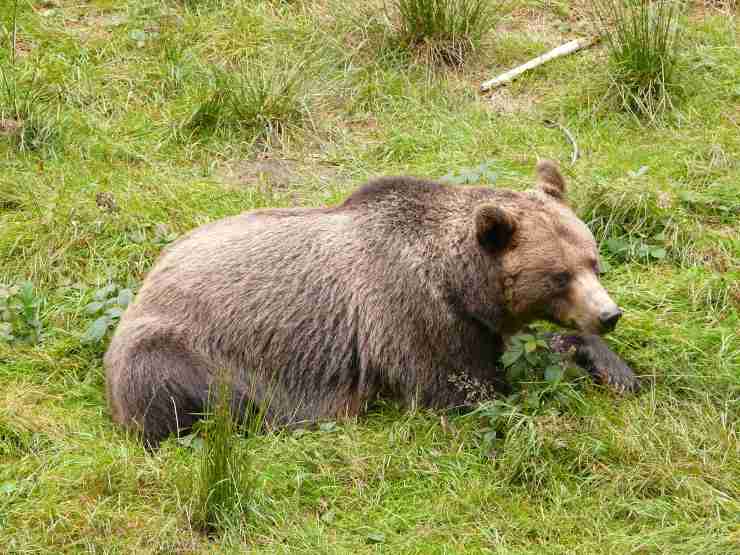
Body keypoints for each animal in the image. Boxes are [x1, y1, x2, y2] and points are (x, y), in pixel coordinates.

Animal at [102, 161, 636, 448]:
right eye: (559, 275)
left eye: (592, 261)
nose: (607, 315)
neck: (458, 283)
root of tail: (147, 280)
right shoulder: (412, 315)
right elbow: (468, 390)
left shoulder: (476, 322)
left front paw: (614, 367)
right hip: (182, 348)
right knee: (194, 396)